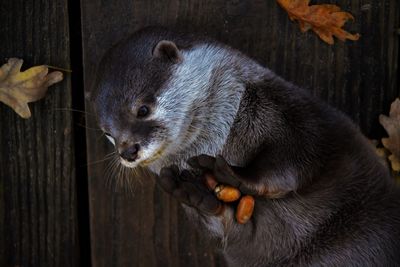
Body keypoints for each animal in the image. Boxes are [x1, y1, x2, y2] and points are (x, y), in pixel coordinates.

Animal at [90, 27, 400, 267]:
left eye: (142, 109)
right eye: (108, 133)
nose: (127, 151)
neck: (220, 138)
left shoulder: (288, 114)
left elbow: (296, 158)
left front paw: (234, 175)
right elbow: (228, 228)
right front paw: (192, 193)